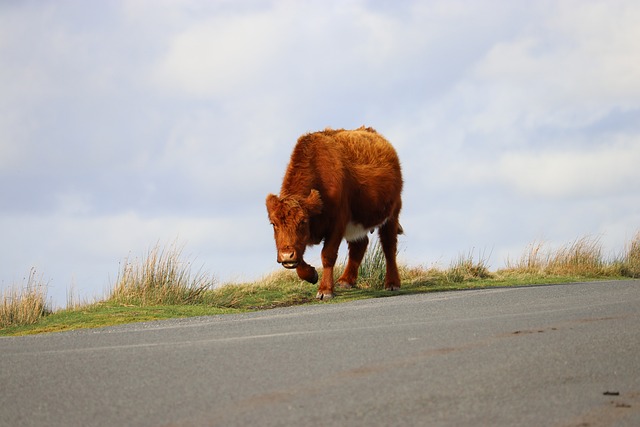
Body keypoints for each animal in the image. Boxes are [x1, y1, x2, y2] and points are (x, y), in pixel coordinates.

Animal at [264, 127, 402, 300]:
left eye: (303, 221)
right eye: (273, 223)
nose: (286, 255)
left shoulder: (337, 223)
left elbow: (327, 255)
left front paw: (325, 290)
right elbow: (299, 256)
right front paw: (311, 275)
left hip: (392, 215)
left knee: (389, 246)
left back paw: (392, 283)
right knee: (359, 245)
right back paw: (346, 280)